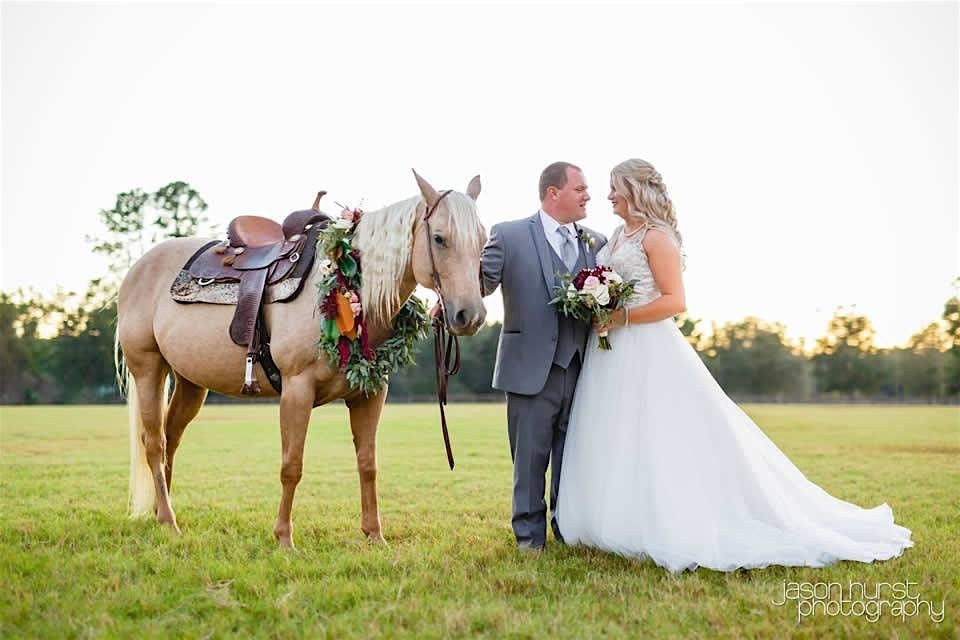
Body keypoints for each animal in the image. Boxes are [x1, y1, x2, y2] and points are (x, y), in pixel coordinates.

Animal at [116, 172, 488, 548]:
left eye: (484, 240)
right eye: (439, 238)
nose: (469, 315)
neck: (343, 282)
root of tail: (138, 268)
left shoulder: (370, 393)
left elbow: (367, 463)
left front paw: (374, 535)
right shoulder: (297, 389)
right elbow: (291, 465)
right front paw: (284, 537)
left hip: (191, 381)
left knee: (171, 438)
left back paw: (160, 514)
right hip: (148, 369)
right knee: (155, 443)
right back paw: (168, 520)